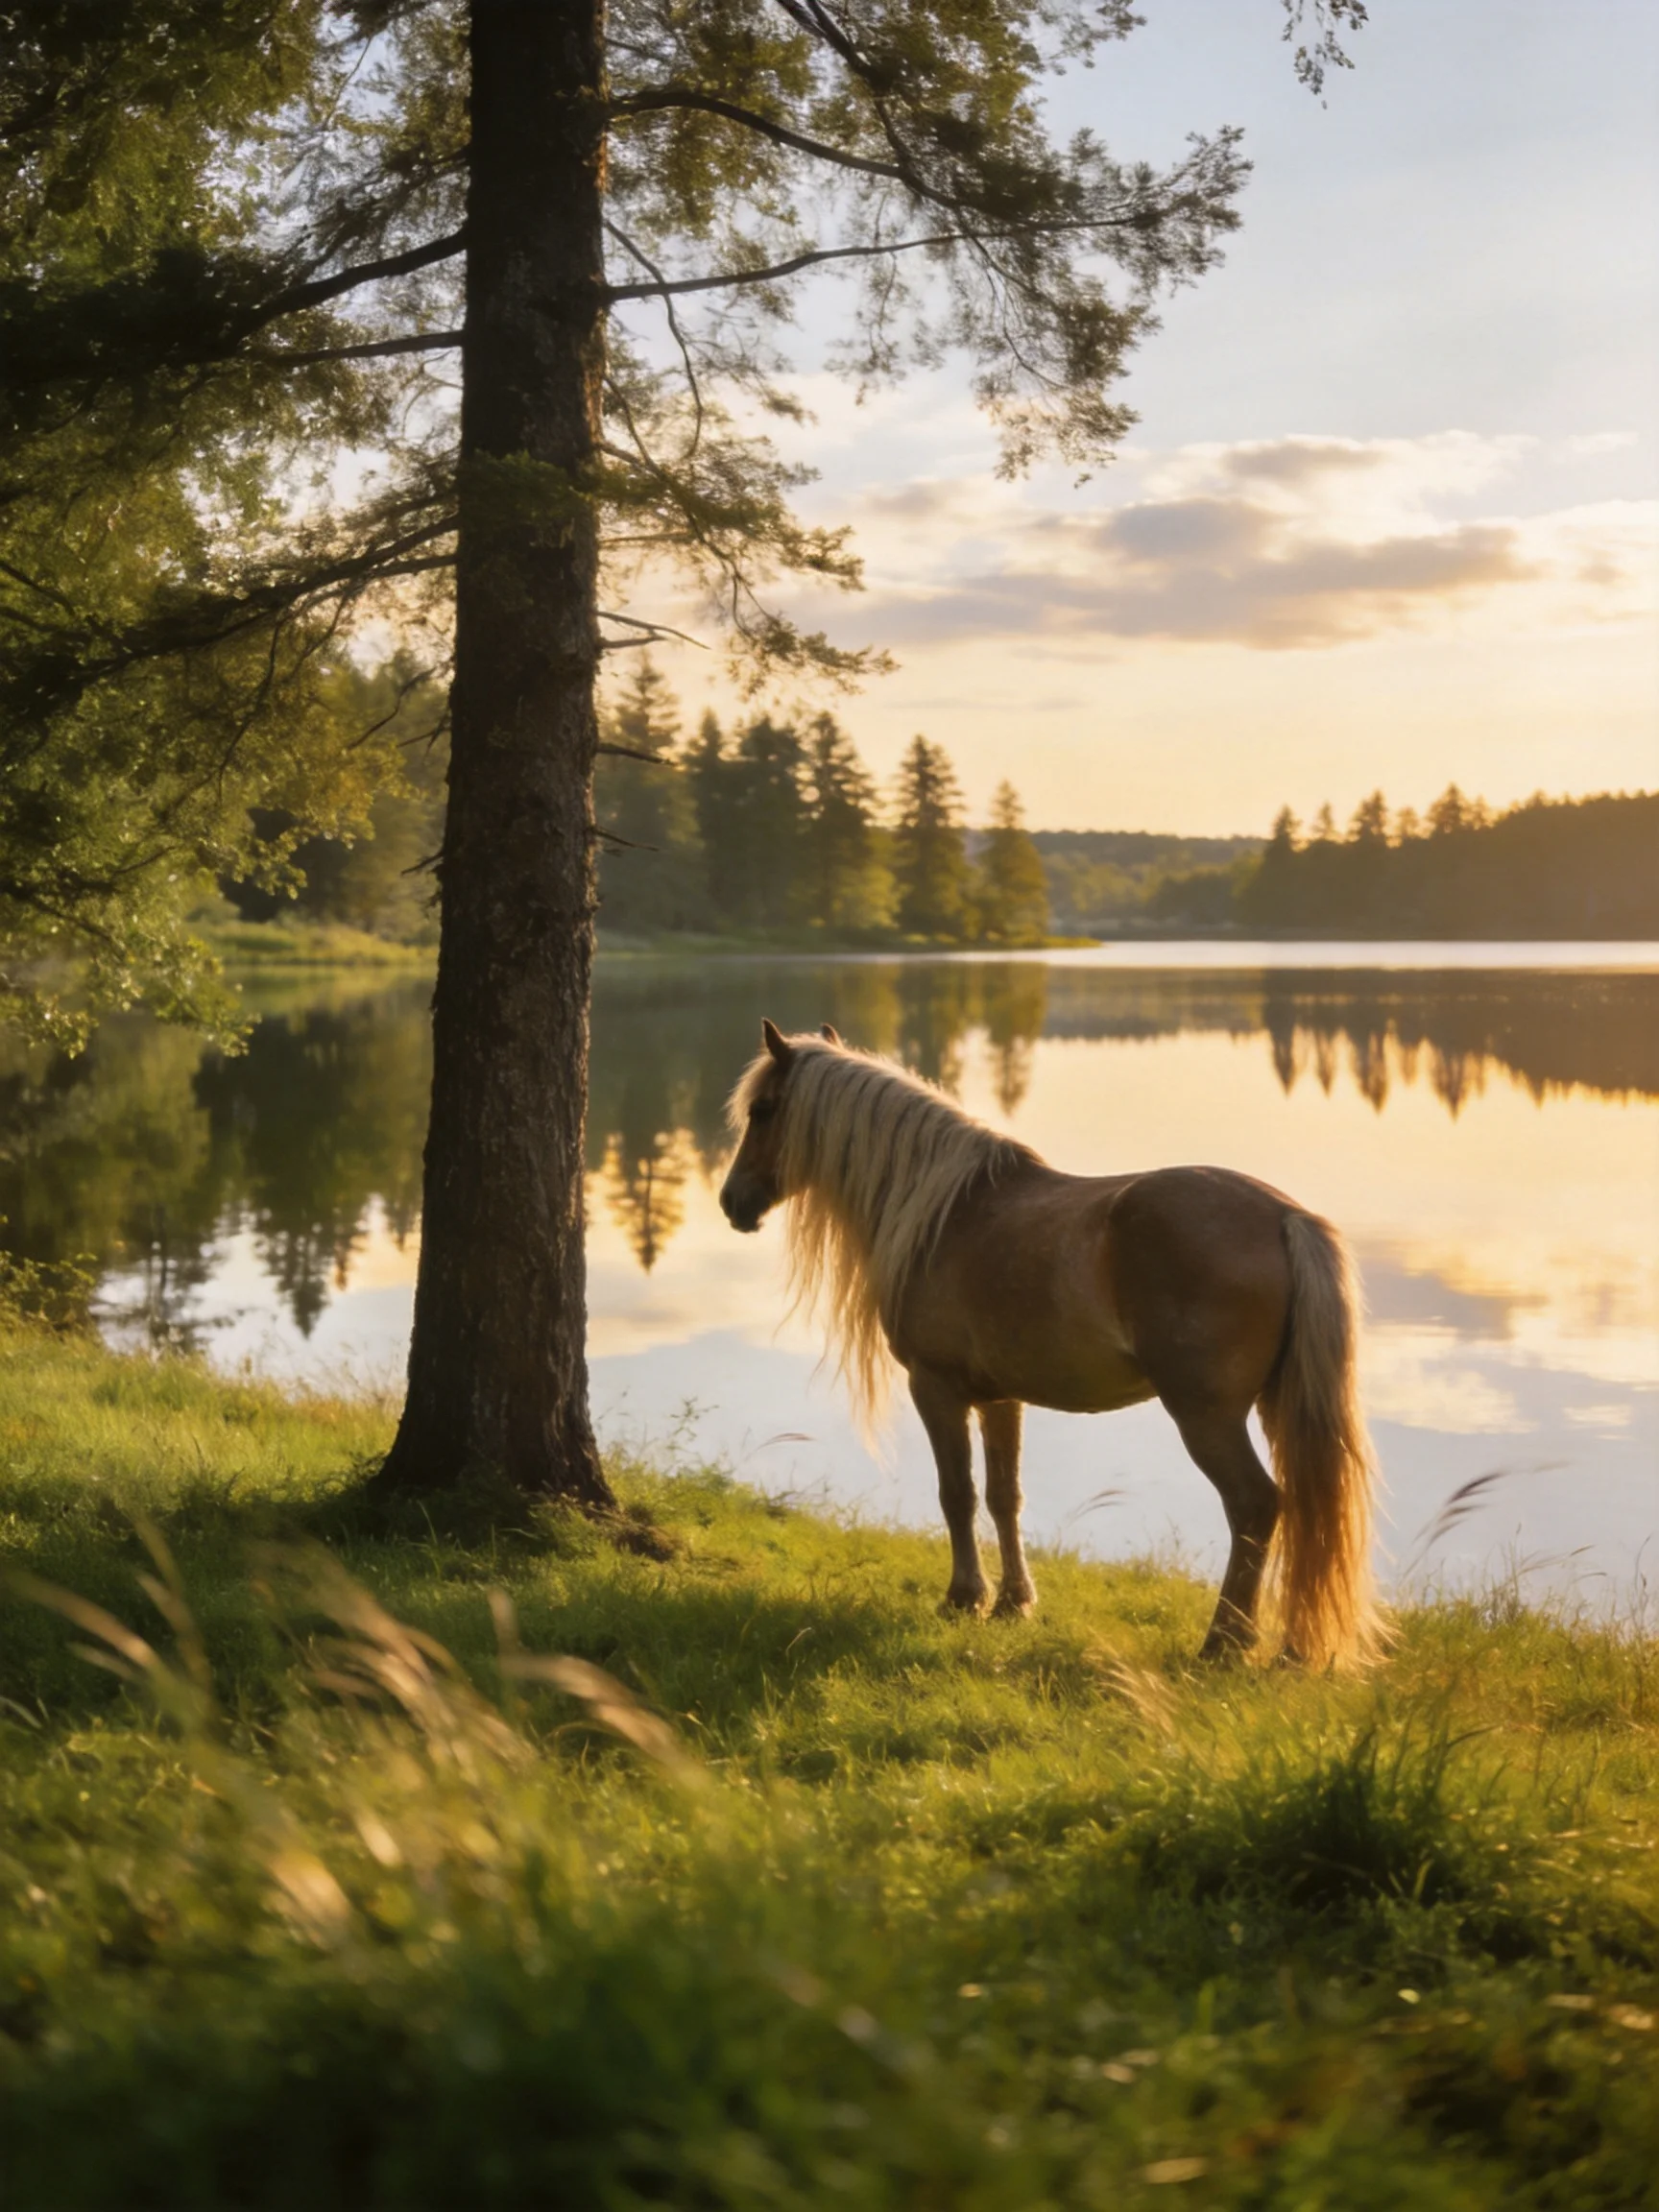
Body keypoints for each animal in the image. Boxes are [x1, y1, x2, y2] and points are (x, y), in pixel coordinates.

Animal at [719, 1019, 1381, 1669]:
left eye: (764, 1109)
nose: (731, 1202)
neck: (943, 1213)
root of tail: (1286, 1218)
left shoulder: (935, 1388)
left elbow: (957, 1495)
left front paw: (963, 1598)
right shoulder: (999, 1398)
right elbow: (1003, 1497)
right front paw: (1013, 1602)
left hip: (1206, 1417)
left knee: (1254, 1506)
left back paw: (1224, 1643)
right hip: (1273, 1408)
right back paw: (1284, 1648)